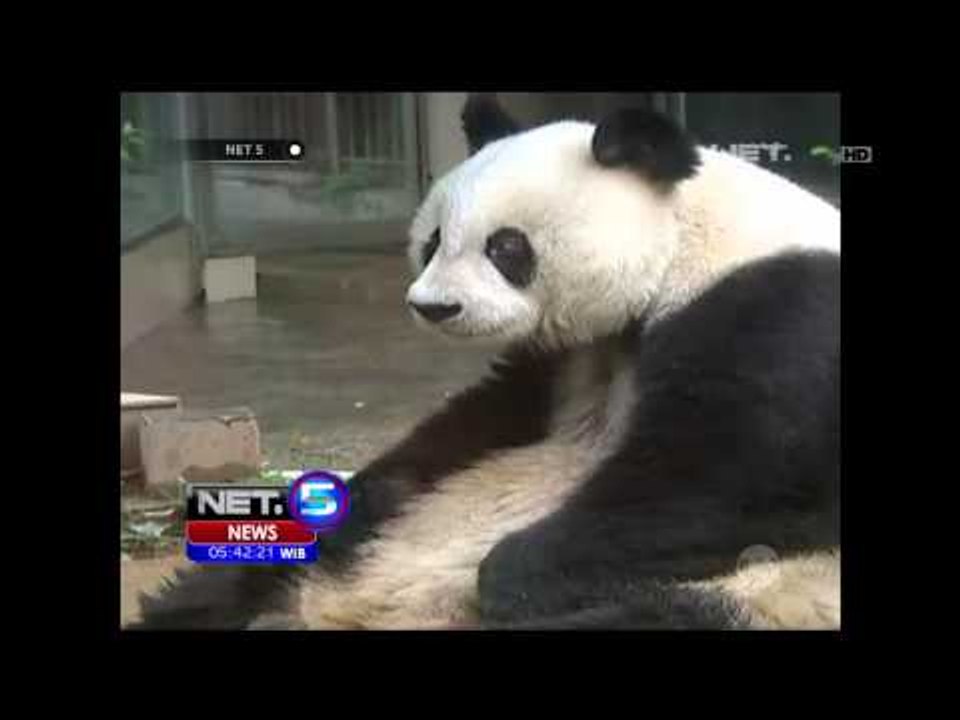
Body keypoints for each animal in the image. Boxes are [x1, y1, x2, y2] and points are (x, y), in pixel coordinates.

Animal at [135, 96, 840, 630]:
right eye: (433, 240)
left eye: (505, 246)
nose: (434, 306)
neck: (685, 238)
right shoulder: (559, 360)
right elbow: (477, 423)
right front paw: (367, 497)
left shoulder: (781, 310)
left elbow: (736, 477)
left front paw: (513, 573)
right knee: (230, 580)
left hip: (763, 593)